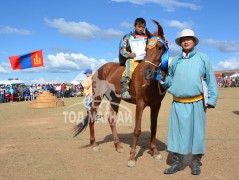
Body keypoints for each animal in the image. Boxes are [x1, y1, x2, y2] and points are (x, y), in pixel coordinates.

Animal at [74, 19, 169, 167]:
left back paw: (118, 145)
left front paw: (155, 152)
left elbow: (154, 128)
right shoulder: (140, 103)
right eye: (146, 49)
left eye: (160, 47)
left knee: (111, 119)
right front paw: (132, 157)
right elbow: (137, 130)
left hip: (115, 99)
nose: (147, 72)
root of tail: (100, 70)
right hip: (97, 97)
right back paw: (94, 144)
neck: (152, 83)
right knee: (92, 117)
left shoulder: (156, 105)